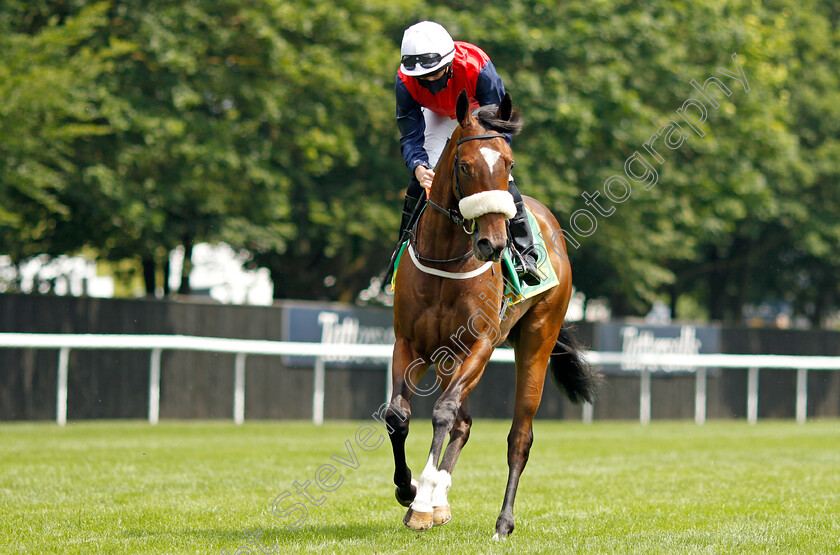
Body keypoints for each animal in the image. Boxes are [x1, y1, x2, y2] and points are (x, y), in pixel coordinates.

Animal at [388, 91, 596, 540]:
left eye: (509, 165)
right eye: (465, 166)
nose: (494, 244)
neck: (447, 260)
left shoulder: (480, 343)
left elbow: (443, 413)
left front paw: (422, 500)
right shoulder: (408, 343)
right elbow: (399, 416)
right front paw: (409, 489)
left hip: (537, 339)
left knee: (519, 436)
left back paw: (502, 522)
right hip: (447, 359)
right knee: (463, 423)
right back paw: (437, 500)